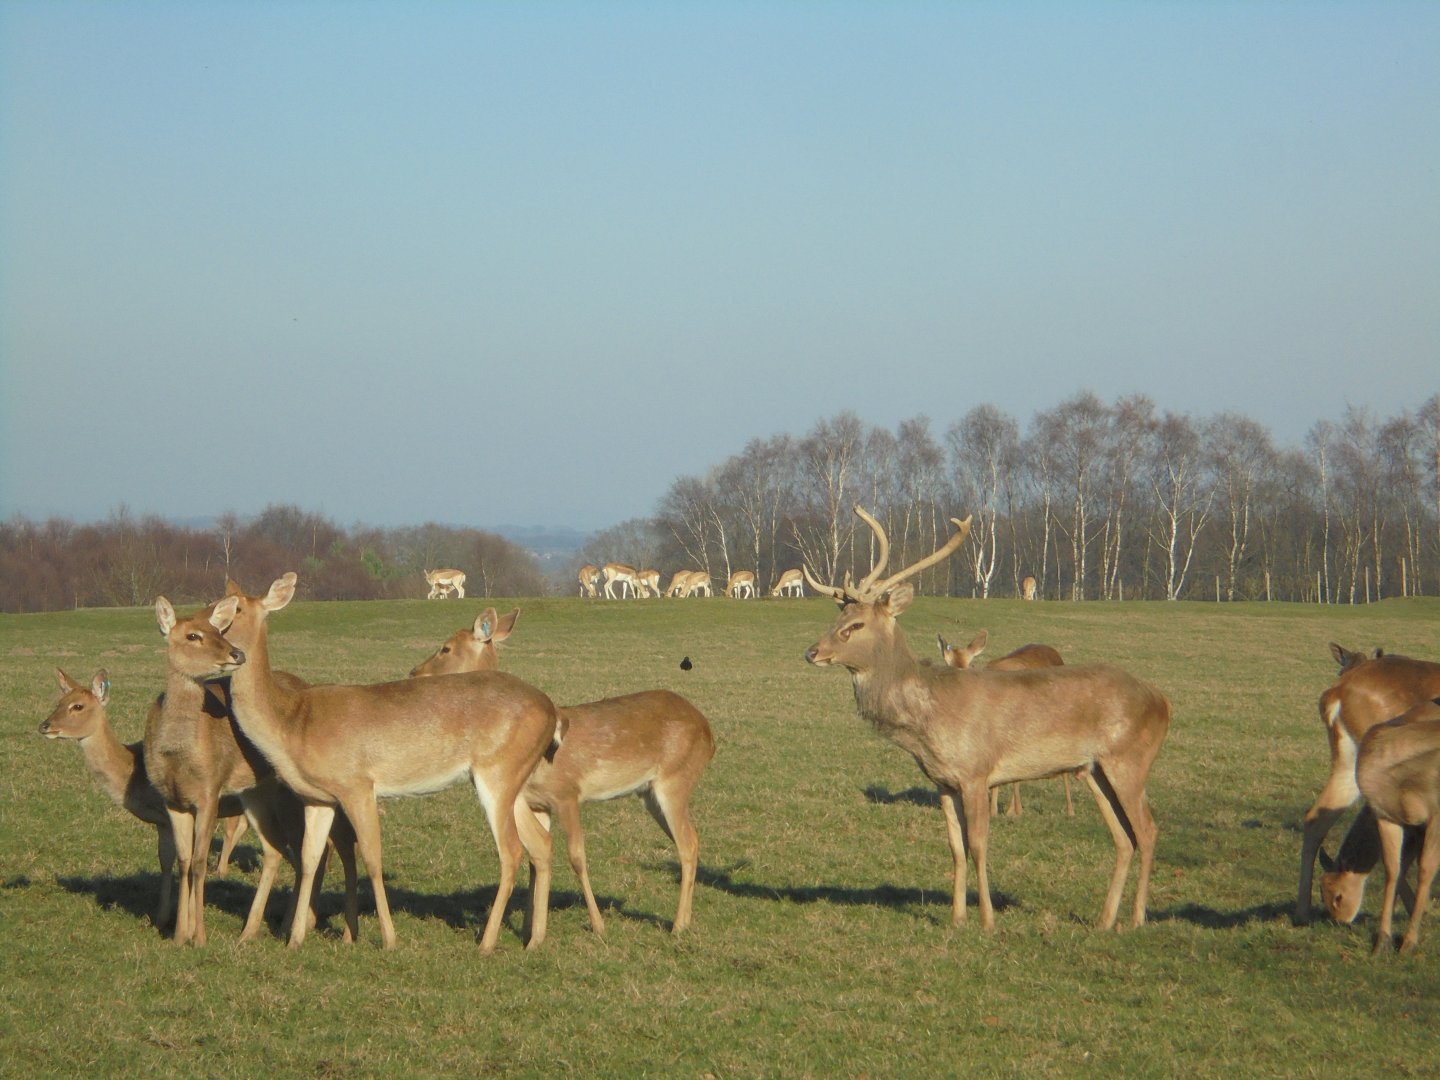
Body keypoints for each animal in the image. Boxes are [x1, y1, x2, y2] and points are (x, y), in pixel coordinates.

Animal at [38, 668, 249, 928]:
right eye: (59, 702)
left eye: (78, 706)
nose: (45, 725)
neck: (136, 773)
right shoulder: (162, 821)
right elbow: (165, 861)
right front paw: (161, 916)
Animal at [211, 572, 558, 950]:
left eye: (236, 609)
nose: (214, 637)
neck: (292, 723)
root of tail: (552, 711)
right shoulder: (316, 798)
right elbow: (309, 859)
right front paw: (295, 940)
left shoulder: (357, 784)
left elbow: (372, 859)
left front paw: (389, 939)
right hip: (513, 781)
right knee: (540, 843)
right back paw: (534, 940)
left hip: (498, 771)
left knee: (511, 850)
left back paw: (486, 943)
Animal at [413, 611, 716, 935]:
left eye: (446, 648)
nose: (414, 672)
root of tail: (709, 734)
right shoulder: (537, 803)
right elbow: (536, 860)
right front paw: (529, 926)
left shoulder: (567, 792)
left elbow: (576, 856)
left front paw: (597, 925)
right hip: (649, 793)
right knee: (691, 839)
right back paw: (684, 920)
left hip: (675, 779)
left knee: (688, 843)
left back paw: (678, 925)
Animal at [1353, 701, 1440, 953]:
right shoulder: (1386, 815)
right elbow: (1393, 869)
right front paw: (1382, 940)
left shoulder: (1435, 816)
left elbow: (1426, 869)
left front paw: (1409, 941)